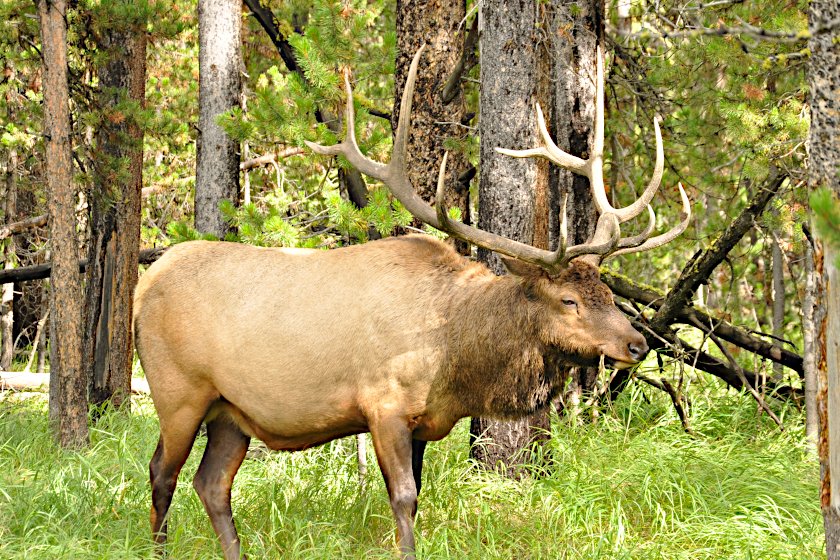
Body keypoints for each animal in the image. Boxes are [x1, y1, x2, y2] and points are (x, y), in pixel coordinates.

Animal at [136, 48, 688, 560]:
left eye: (608, 294)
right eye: (568, 300)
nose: (637, 344)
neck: (455, 360)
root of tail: (142, 287)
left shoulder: (422, 421)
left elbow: (416, 494)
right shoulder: (384, 405)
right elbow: (403, 498)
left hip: (231, 412)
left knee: (211, 483)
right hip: (178, 391)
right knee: (162, 473)